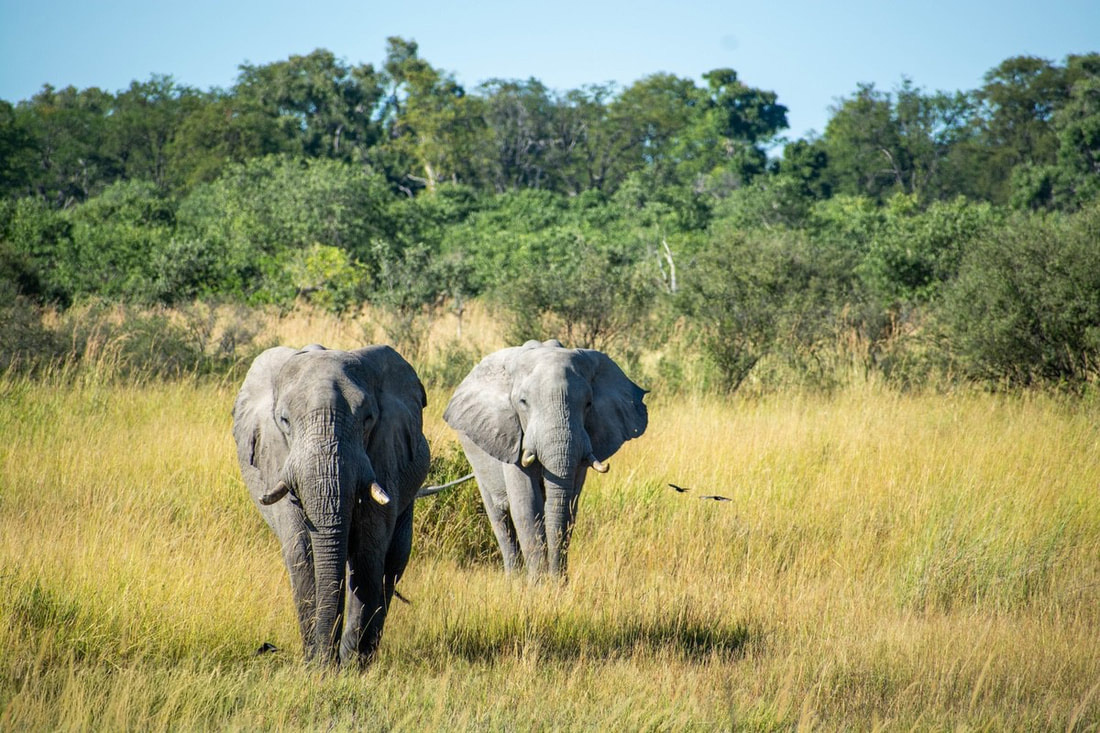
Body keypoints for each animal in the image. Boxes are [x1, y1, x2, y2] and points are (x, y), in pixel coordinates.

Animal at [232, 344, 430, 666]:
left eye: (368, 419)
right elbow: (302, 552)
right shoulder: (276, 458)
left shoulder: (385, 453)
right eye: (284, 421)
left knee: (392, 560)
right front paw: (317, 664)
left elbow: (368, 552)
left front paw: (351, 664)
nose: (329, 662)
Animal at [443, 339, 648, 581]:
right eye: (523, 402)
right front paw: (539, 584)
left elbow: (568, 506)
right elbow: (527, 504)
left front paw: (557, 584)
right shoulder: (512, 434)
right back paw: (514, 580)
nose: (558, 578)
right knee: (499, 517)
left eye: (588, 404)